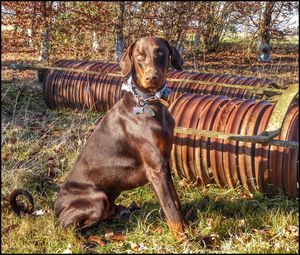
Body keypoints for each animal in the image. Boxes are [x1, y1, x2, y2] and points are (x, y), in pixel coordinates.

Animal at [53, 36, 185, 238]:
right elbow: (170, 207)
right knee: (76, 230)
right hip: (97, 199)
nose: (152, 78)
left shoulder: (164, 162)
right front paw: (184, 238)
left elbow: (176, 200)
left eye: (160, 52)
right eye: (139, 56)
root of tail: (56, 210)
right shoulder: (155, 168)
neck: (150, 103)